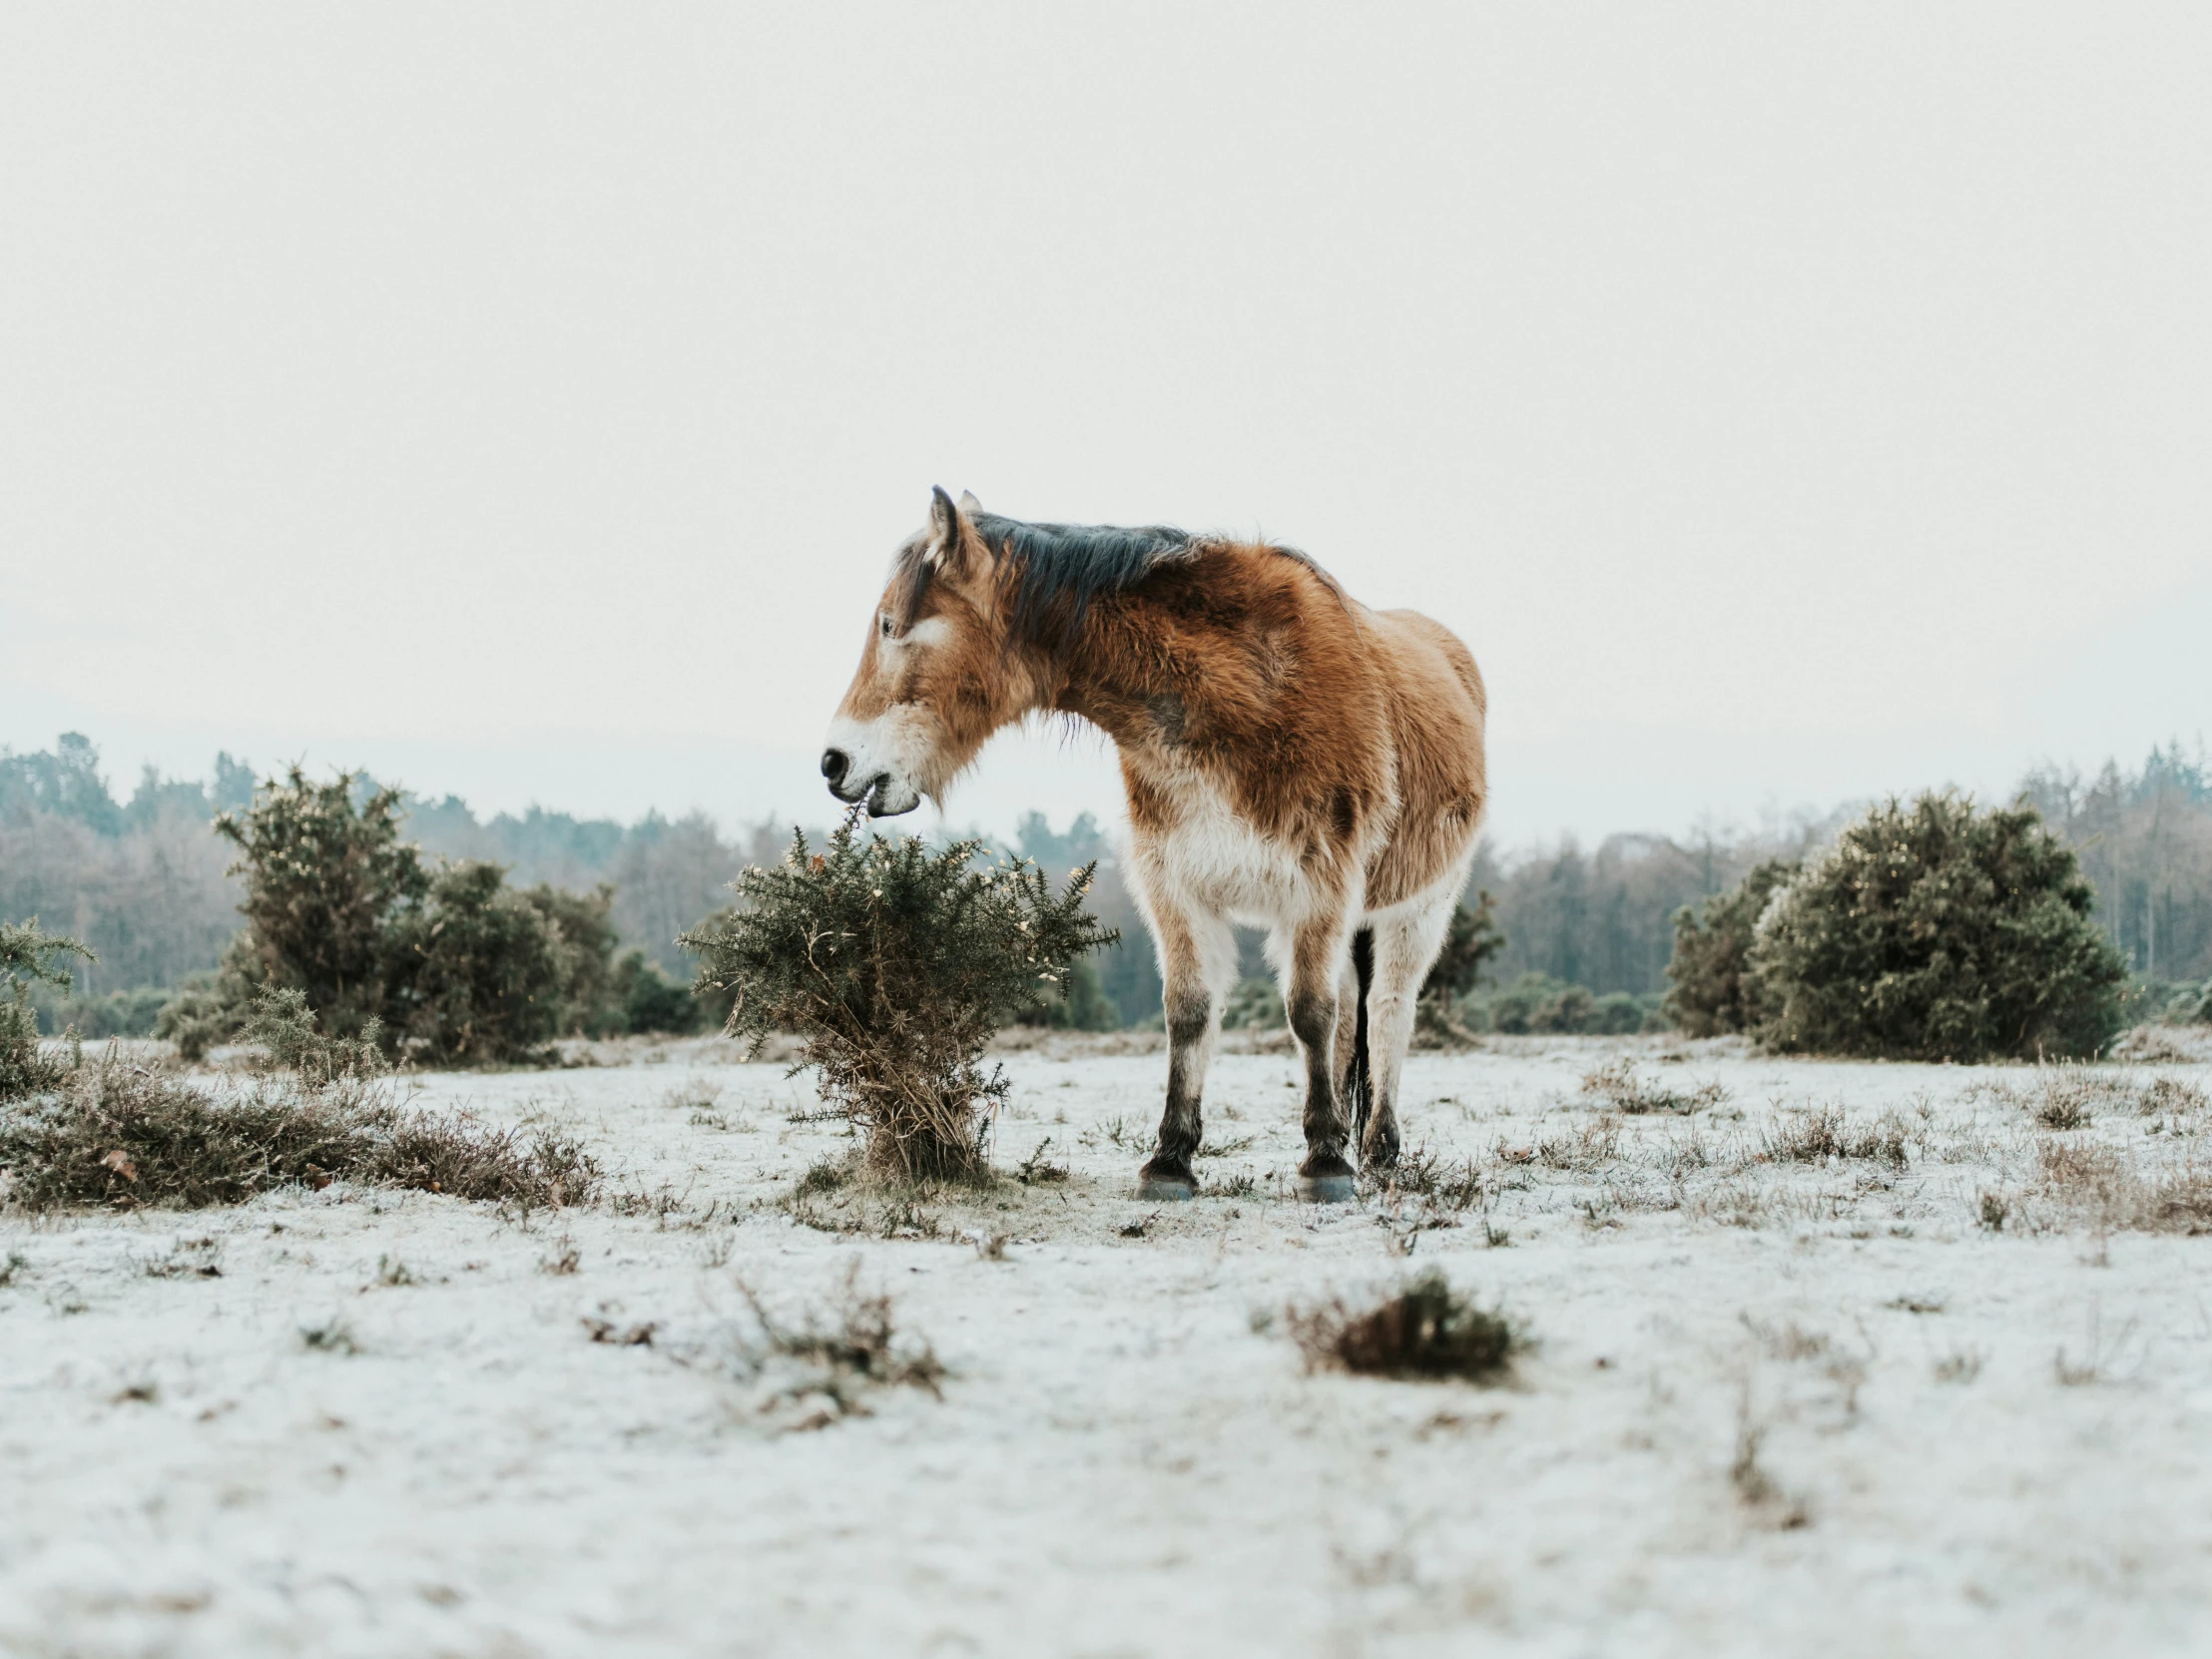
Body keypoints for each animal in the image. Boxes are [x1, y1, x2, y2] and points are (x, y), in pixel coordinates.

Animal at [827, 486, 1486, 1203]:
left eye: (890, 625)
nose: (834, 762)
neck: (1243, 694)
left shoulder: (1320, 884)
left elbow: (1310, 1012)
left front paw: (1325, 1165)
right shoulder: (1176, 883)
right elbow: (1190, 1013)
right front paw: (1171, 1159)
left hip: (1417, 910)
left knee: (1386, 1011)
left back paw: (1378, 1151)